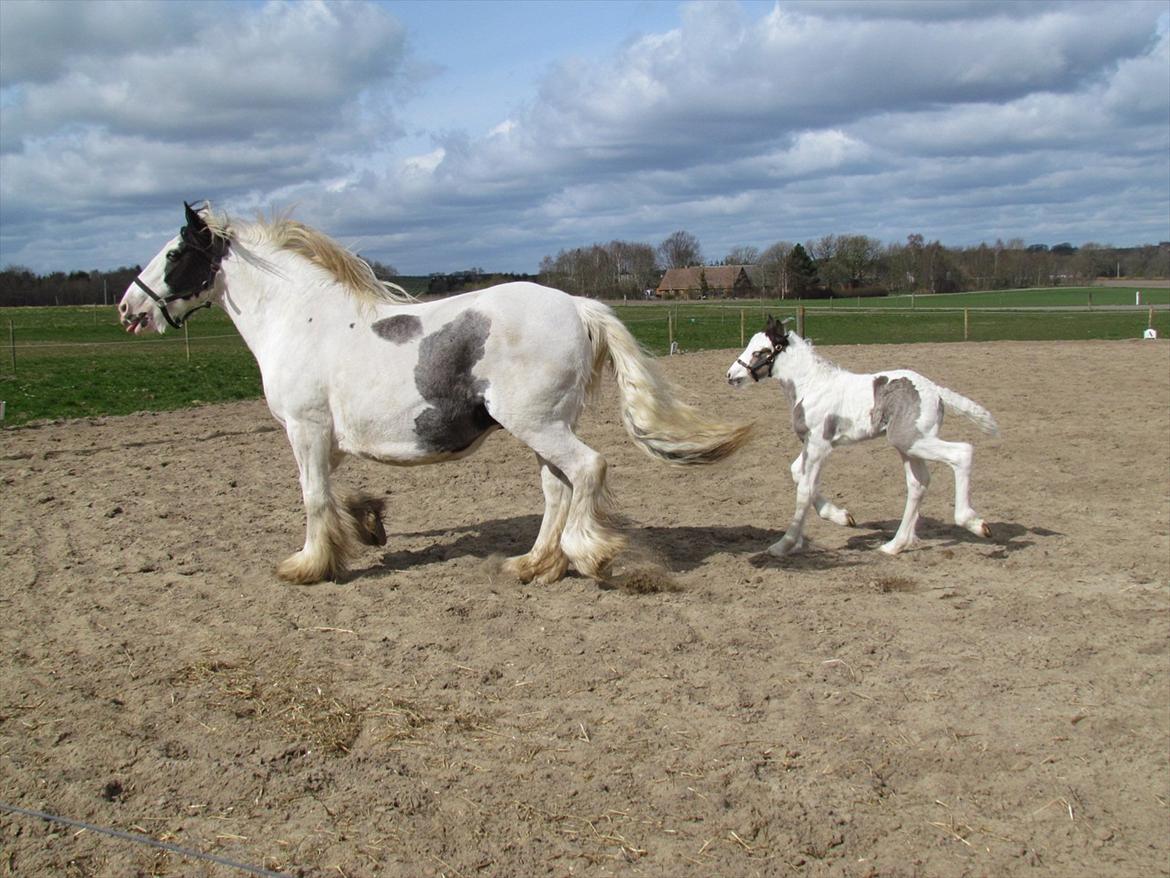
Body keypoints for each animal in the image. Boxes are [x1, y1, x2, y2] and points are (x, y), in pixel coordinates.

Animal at [114, 206, 744, 585]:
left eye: (174, 254)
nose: (127, 308)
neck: (300, 318)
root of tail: (578, 305)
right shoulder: (328, 438)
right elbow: (336, 494)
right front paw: (368, 525)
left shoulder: (305, 429)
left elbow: (314, 498)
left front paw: (308, 565)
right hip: (545, 425)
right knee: (557, 488)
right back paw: (534, 564)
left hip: (538, 424)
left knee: (587, 470)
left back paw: (587, 553)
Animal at [725, 316, 1001, 557]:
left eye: (760, 351)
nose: (730, 376)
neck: (812, 385)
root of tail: (936, 390)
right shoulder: (809, 445)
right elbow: (797, 473)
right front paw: (841, 517)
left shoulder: (819, 445)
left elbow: (805, 489)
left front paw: (784, 545)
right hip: (909, 446)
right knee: (918, 484)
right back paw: (895, 545)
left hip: (909, 440)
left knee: (962, 452)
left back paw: (974, 523)